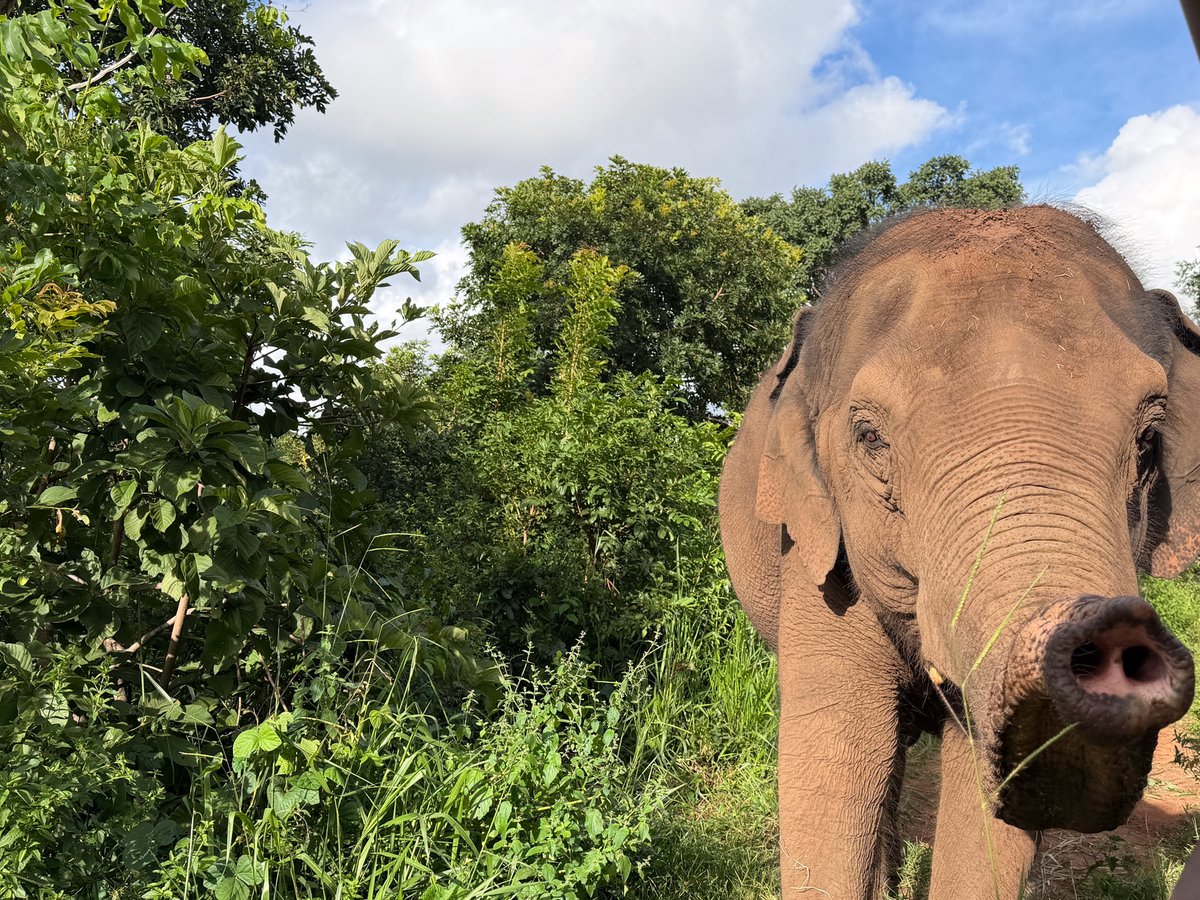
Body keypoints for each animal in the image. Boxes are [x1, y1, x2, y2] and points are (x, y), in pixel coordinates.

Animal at [719, 205, 1198, 898]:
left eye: (1149, 437)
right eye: (870, 438)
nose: (1100, 632)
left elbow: (987, 813)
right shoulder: (818, 557)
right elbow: (837, 759)